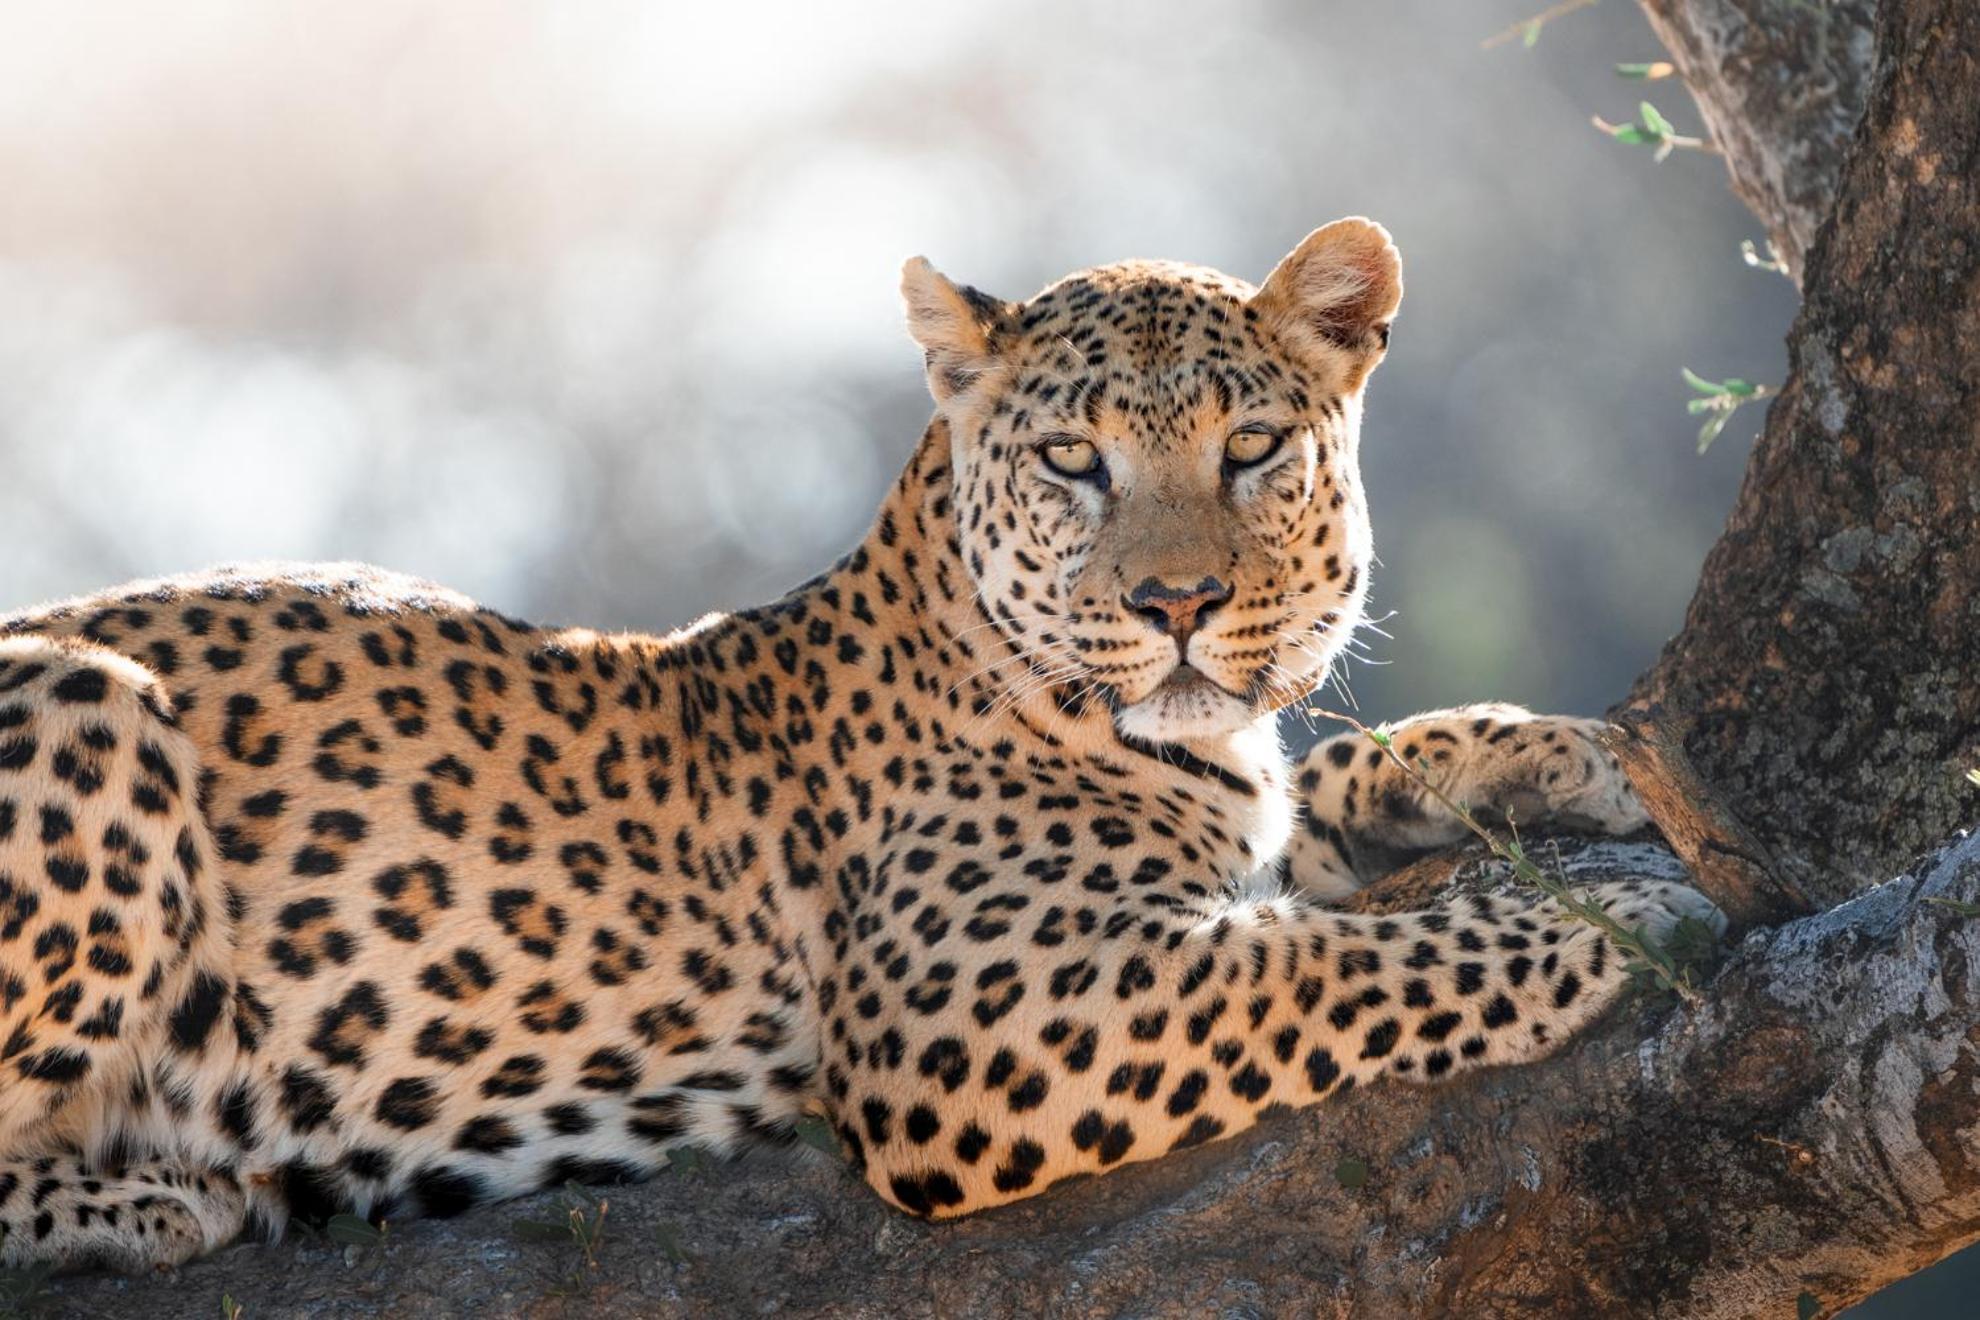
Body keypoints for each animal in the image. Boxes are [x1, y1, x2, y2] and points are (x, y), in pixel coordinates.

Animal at [0, 216, 1718, 1266]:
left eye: (1250, 449)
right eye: (1074, 461)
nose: (1176, 602)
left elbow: (1339, 800)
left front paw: (1577, 758)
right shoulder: (979, 1014)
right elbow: (1331, 965)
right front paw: (1610, 916)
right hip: (90, 701)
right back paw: (171, 1193)